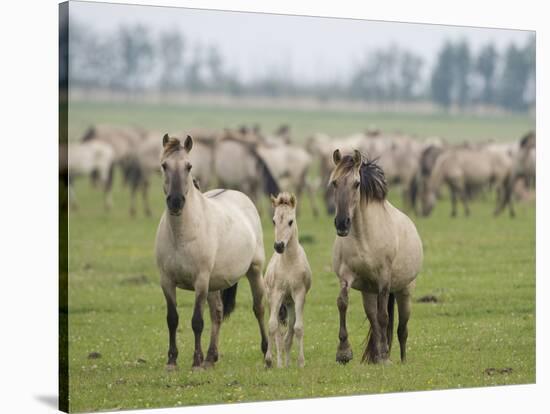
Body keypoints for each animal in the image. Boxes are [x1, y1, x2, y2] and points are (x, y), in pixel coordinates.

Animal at [155, 134, 270, 370]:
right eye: (164, 165)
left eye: (189, 166)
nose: (176, 201)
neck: (181, 235)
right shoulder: (167, 281)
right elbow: (172, 319)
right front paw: (172, 360)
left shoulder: (200, 281)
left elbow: (197, 321)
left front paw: (196, 361)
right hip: (214, 284)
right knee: (217, 313)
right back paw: (211, 357)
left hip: (253, 271)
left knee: (259, 308)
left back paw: (266, 352)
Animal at [266, 192, 312, 368]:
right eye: (273, 220)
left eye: (290, 221)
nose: (279, 246)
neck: (289, 263)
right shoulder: (276, 294)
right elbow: (272, 326)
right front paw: (269, 360)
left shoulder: (299, 294)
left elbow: (297, 328)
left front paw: (301, 363)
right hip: (274, 301)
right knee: (278, 334)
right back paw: (280, 364)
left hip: (290, 303)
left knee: (288, 334)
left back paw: (286, 363)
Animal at [330, 150, 424, 364]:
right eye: (334, 182)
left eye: (356, 183)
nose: (342, 223)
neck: (364, 237)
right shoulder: (347, 276)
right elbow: (342, 303)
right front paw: (343, 352)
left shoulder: (383, 280)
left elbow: (384, 317)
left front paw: (384, 356)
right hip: (368, 292)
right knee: (374, 319)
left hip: (404, 292)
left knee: (401, 329)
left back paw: (400, 359)